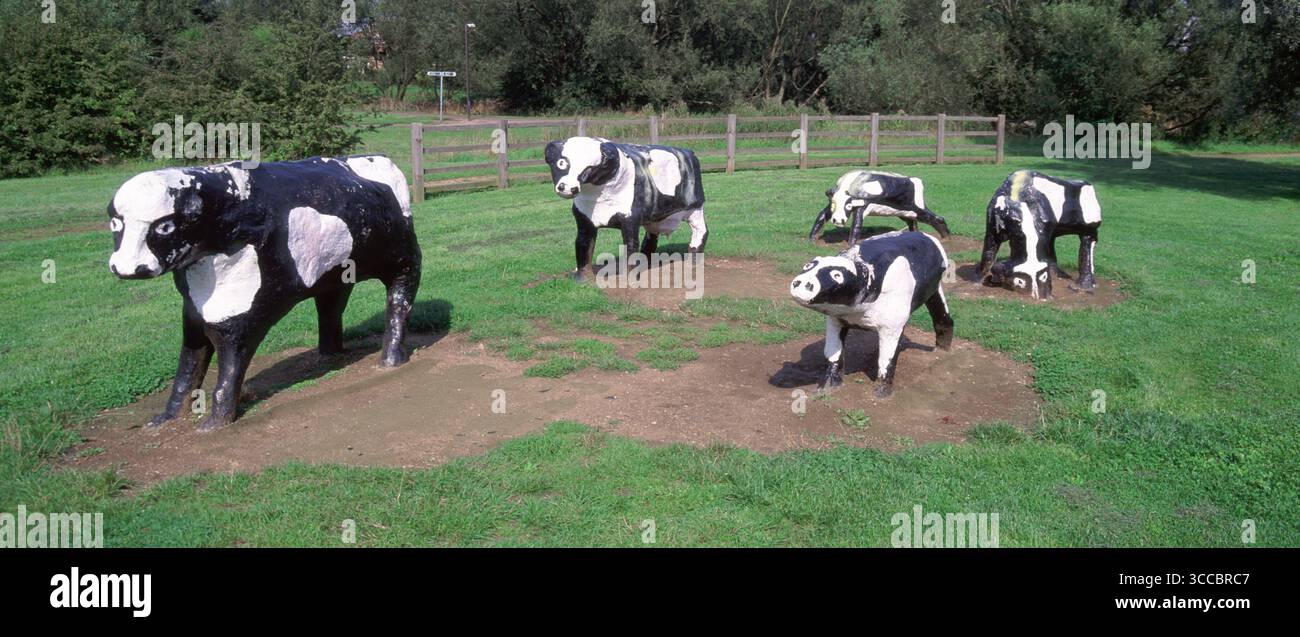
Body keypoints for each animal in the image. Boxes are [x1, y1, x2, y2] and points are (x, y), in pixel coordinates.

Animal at [107, 155, 422, 430]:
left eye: (165, 226)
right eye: (115, 223)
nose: (126, 267)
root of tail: (379, 159)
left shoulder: (245, 317)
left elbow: (229, 370)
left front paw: (214, 423)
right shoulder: (194, 318)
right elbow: (186, 372)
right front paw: (164, 419)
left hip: (403, 259)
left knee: (399, 300)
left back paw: (391, 359)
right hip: (334, 275)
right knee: (330, 307)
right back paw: (328, 356)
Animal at [544, 137, 707, 280]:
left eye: (589, 168)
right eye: (561, 163)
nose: (567, 187)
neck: (597, 197)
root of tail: (689, 151)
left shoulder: (630, 219)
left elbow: (630, 246)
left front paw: (630, 280)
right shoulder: (584, 219)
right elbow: (582, 245)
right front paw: (581, 278)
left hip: (696, 208)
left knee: (701, 232)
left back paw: (693, 263)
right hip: (654, 218)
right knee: (650, 239)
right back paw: (646, 264)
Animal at [789, 230, 953, 398]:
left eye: (837, 275)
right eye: (807, 266)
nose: (802, 282)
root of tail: (927, 236)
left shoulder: (893, 325)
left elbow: (887, 359)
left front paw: (881, 392)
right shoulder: (836, 319)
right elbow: (833, 353)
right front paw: (828, 385)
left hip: (933, 288)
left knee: (943, 317)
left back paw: (942, 350)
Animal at [808, 170, 951, 244]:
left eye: (848, 205)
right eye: (833, 204)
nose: (838, 220)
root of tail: (916, 180)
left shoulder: (863, 205)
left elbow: (856, 225)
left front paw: (851, 245)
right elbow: (821, 215)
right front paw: (812, 240)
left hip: (916, 208)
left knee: (937, 218)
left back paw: (946, 238)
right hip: (903, 211)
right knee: (912, 223)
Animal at [976, 169, 1102, 300]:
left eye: (1044, 276)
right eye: (1019, 281)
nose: (1040, 296)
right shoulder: (992, 226)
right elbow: (988, 254)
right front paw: (979, 280)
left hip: (1090, 224)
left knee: (1088, 241)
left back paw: (1086, 284)